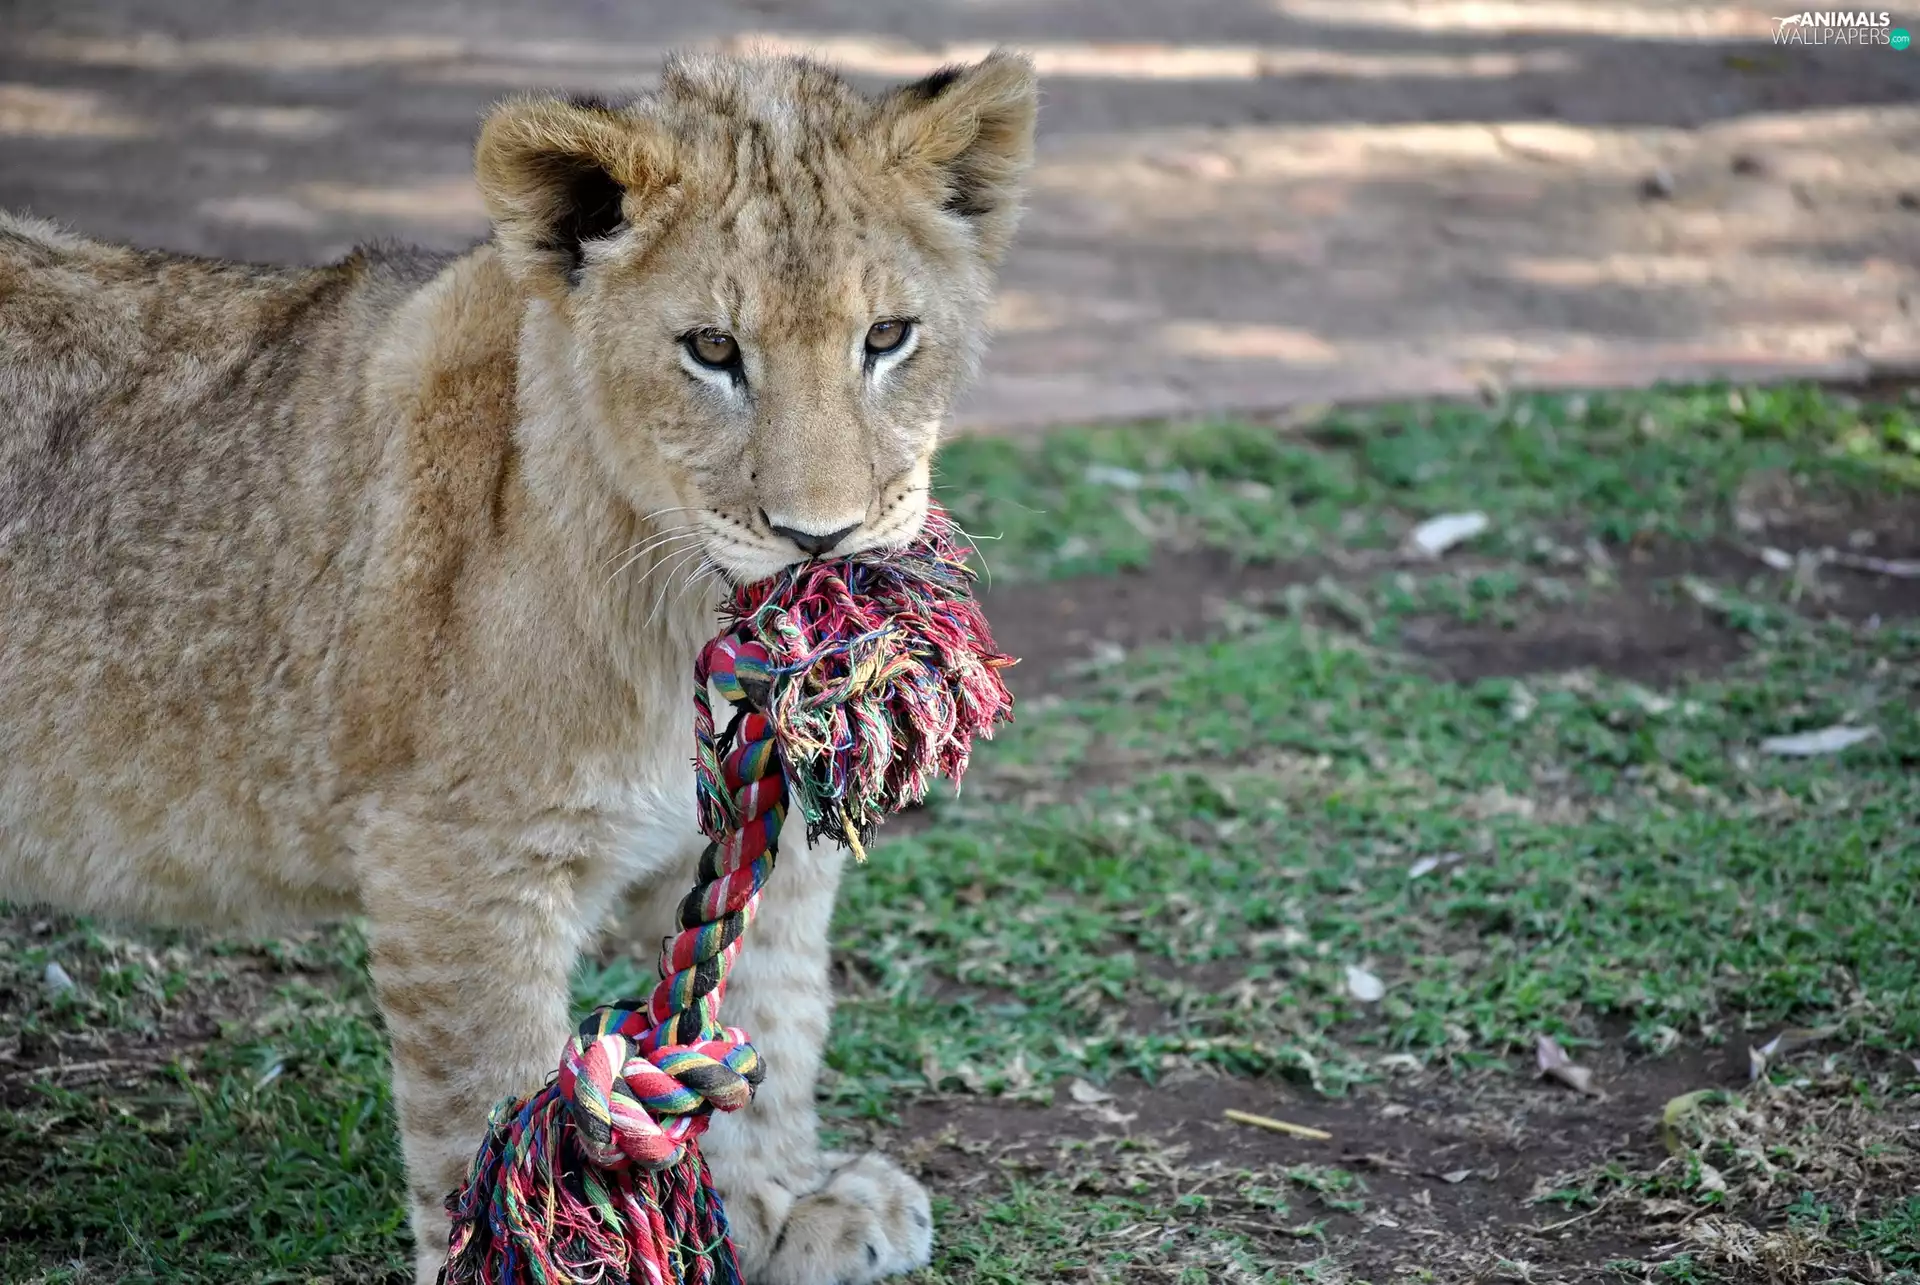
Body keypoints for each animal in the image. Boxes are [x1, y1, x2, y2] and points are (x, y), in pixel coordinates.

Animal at [0, 49, 1038, 1285]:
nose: (819, 539)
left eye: (887, 338)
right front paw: (554, 1244)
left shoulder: (765, 841)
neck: (675, 611)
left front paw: (785, 1207)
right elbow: (488, 1106)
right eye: (712, 350)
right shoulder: (458, 861)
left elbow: (774, 1010)